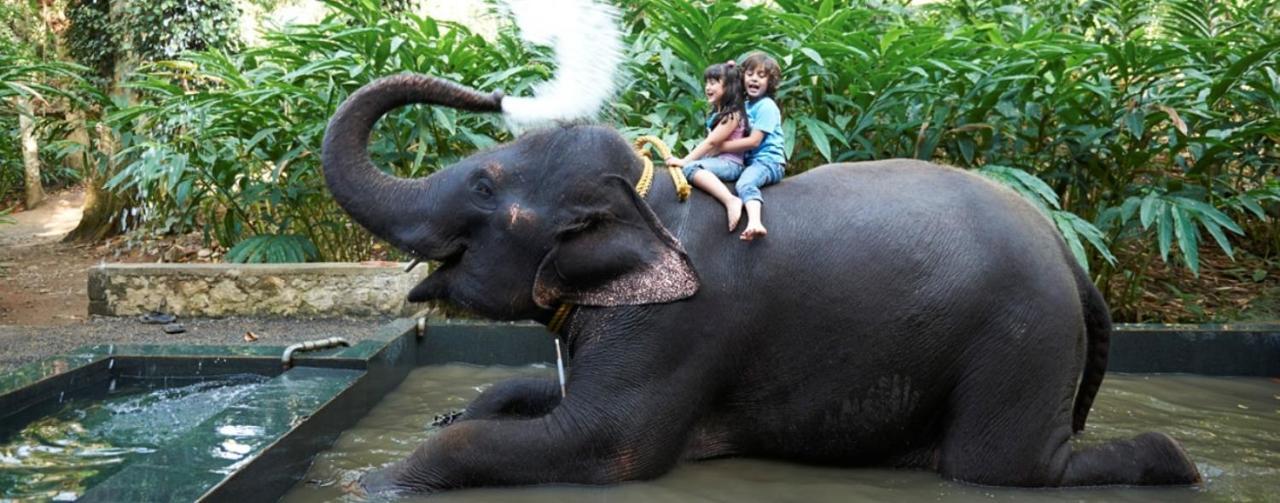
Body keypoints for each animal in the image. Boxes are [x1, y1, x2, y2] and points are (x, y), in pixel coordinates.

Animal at [322, 72, 1198, 491]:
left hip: (1021, 339)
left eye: (483, 186)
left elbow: (604, 444)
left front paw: (372, 481)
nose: (496, 91)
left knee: (1003, 469)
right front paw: (445, 413)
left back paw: (1177, 464)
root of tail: (1071, 257)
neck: (649, 197)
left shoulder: (680, 327)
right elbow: (519, 394)